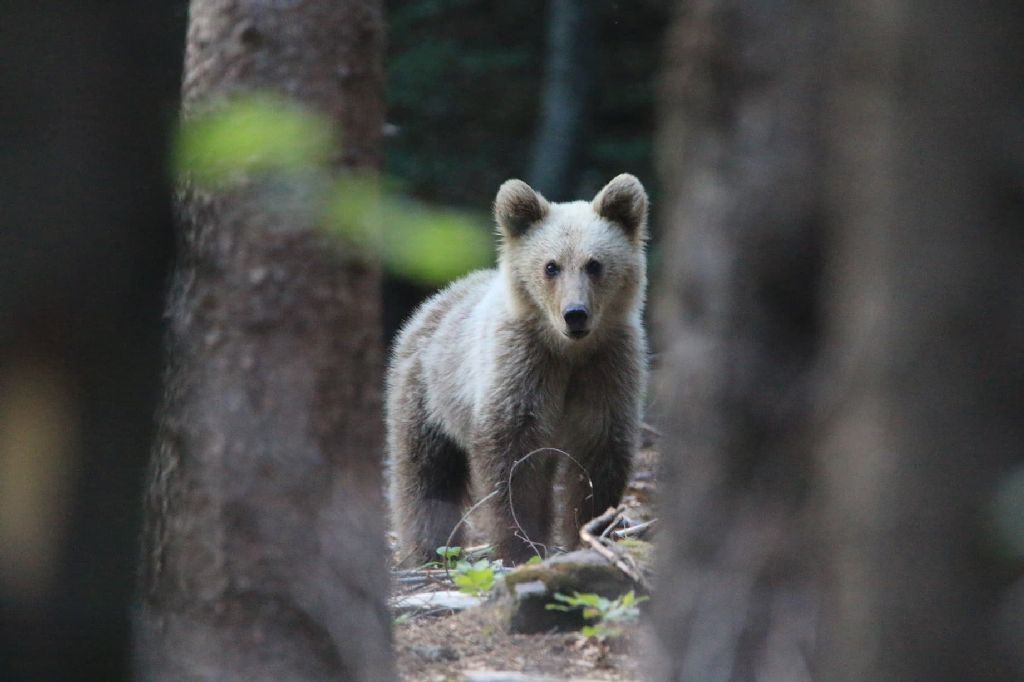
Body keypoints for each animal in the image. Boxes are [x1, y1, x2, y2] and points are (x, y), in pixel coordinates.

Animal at [385, 175, 647, 561]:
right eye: (551, 266)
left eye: (594, 264)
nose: (575, 314)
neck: (567, 351)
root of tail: (436, 301)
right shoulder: (521, 367)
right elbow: (511, 460)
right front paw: (519, 544)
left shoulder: (605, 367)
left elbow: (598, 454)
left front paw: (590, 531)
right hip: (429, 392)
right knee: (425, 471)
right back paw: (427, 549)